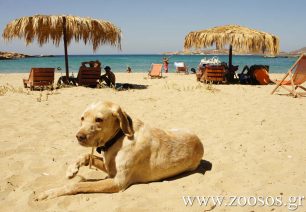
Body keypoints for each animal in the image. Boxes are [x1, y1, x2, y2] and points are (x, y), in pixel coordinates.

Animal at [37, 100, 204, 200]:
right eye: (82, 118)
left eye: (99, 119)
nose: (79, 136)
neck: (118, 138)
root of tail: (200, 142)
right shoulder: (109, 168)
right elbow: (86, 156)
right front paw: (72, 169)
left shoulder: (118, 182)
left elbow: (77, 185)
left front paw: (49, 193)